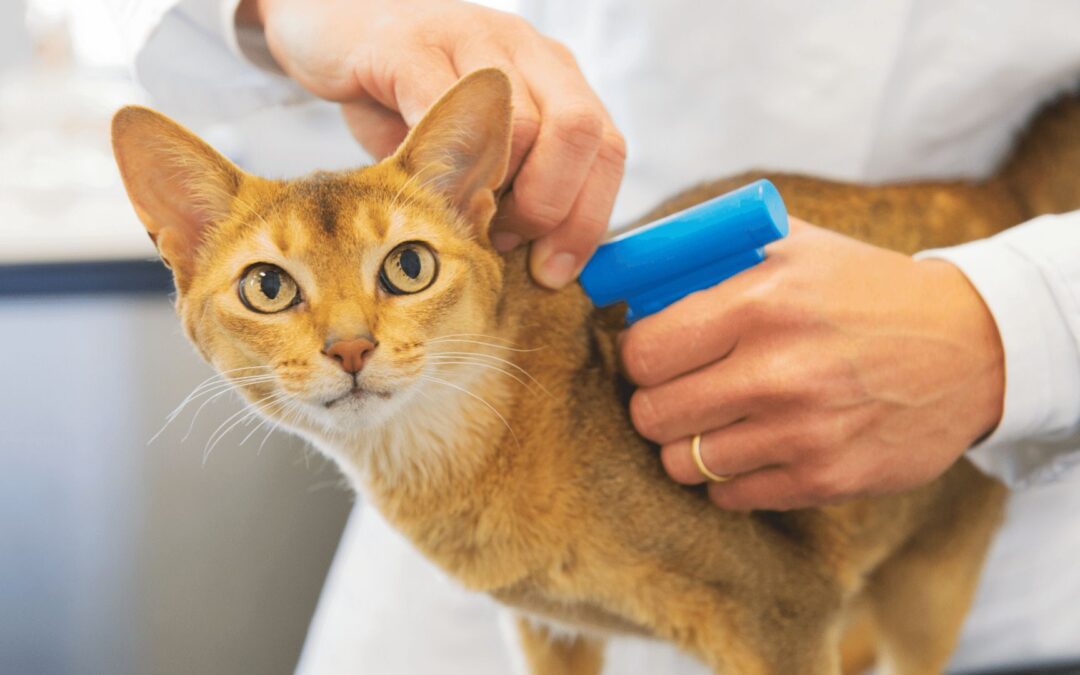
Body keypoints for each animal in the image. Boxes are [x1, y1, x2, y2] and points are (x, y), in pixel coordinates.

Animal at [111, 71, 1080, 669]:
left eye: (408, 266)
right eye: (268, 286)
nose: (350, 348)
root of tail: (995, 191)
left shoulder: (782, 614)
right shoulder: (550, 633)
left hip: (933, 583)